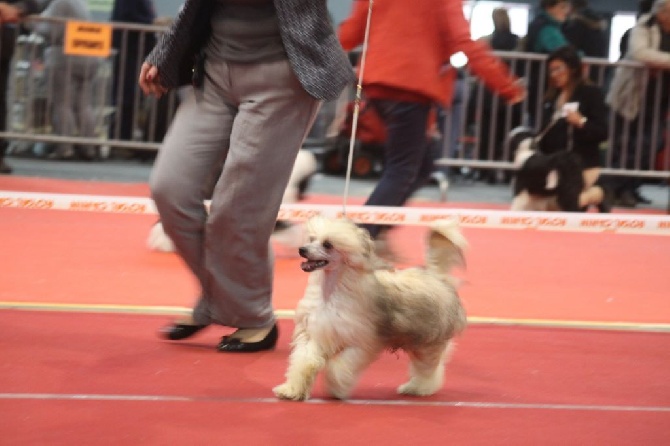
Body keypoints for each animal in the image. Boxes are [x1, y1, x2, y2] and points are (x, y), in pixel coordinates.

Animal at [272, 216, 468, 400]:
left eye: (328, 244)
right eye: (312, 239)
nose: (302, 250)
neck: (331, 293)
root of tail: (438, 278)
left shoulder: (362, 343)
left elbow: (341, 366)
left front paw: (336, 387)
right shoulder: (315, 333)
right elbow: (304, 362)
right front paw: (291, 389)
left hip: (428, 343)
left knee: (429, 369)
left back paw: (419, 388)